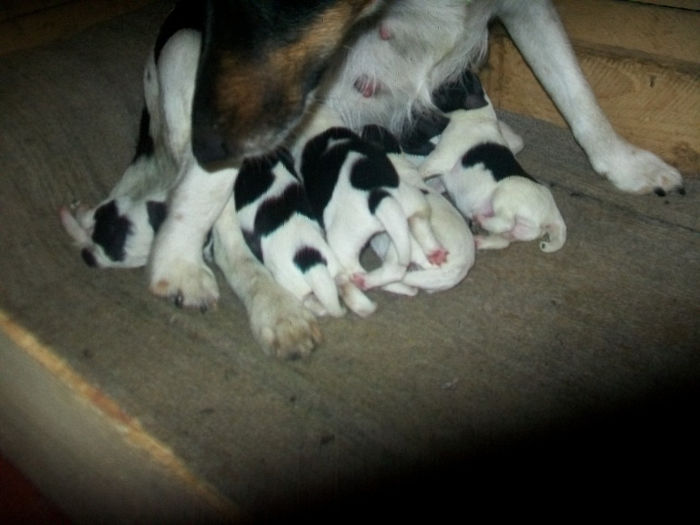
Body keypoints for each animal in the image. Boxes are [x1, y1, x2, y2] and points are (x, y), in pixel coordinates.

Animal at [234, 146, 378, 316]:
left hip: (295, 288)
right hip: (336, 272)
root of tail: (310, 261)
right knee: (343, 289)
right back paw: (362, 306)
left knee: (312, 304)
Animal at [418, 70, 568, 252]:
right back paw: (480, 240)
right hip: (520, 230)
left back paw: (480, 220)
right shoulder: (441, 178)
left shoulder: (441, 158)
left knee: (505, 221)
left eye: (446, 86)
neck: (474, 114)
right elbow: (432, 183)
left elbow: (423, 168)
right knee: (502, 239)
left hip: (504, 195)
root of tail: (552, 214)